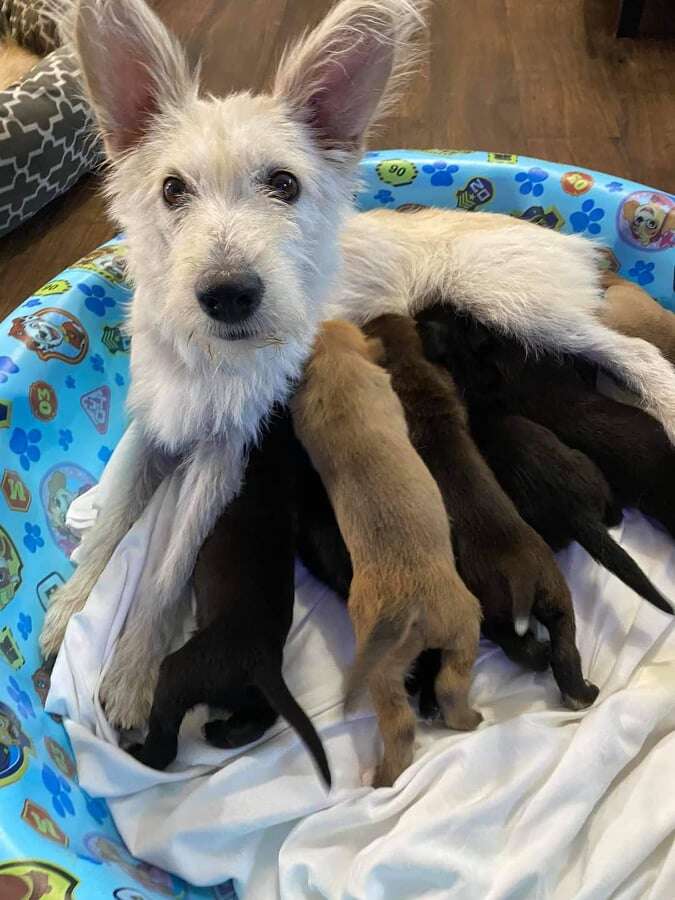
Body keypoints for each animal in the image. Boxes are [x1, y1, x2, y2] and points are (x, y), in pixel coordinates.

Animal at [39, 0, 426, 732]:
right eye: (171, 189)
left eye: (284, 184)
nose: (227, 294)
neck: (210, 358)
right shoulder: (151, 425)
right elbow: (112, 521)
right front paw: (73, 603)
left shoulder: (224, 455)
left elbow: (165, 570)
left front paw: (132, 672)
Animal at [131, 412, 332, 792]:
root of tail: (260, 662)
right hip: (248, 692)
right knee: (265, 715)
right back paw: (223, 733)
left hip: (180, 673)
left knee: (165, 741)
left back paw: (142, 753)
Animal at [294, 320, 484, 784]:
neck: (333, 366)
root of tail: (408, 608)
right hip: (465, 621)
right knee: (446, 686)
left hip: (389, 665)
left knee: (405, 715)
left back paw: (387, 773)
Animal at [362, 314, 600, 712]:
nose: (380, 316)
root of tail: (523, 576)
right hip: (556, 593)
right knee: (564, 647)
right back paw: (580, 692)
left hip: (494, 606)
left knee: (518, 646)